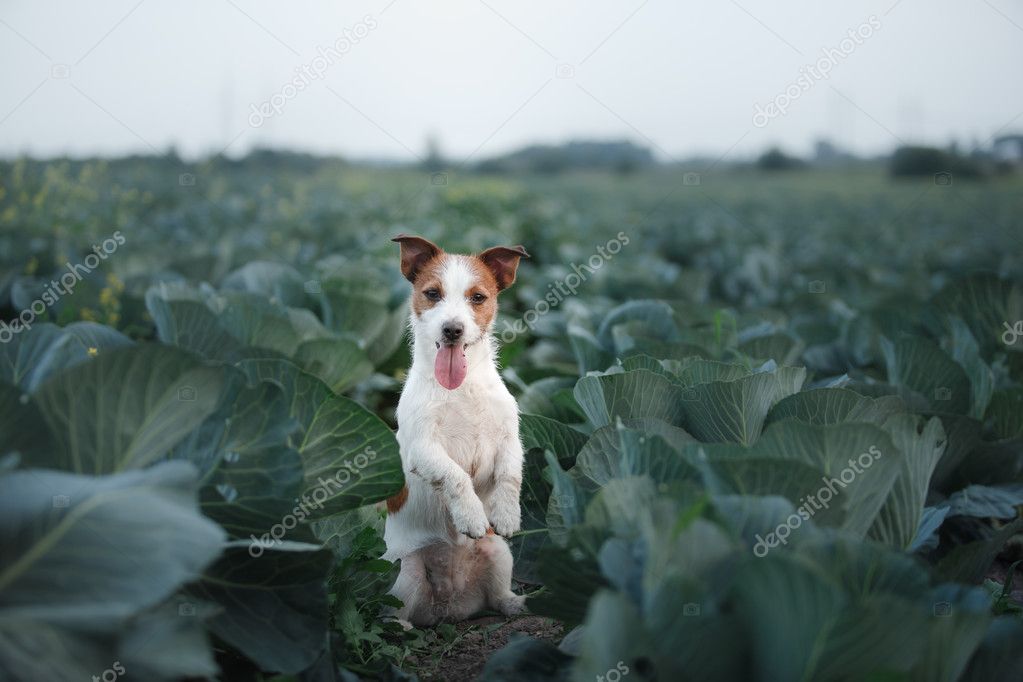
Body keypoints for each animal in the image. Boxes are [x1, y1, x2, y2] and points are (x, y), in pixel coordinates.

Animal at [382, 236, 527, 629]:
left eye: (478, 297)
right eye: (432, 294)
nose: (452, 329)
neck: (462, 388)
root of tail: (449, 608)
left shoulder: (510, 439)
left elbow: (510, 474)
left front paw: (505, 514)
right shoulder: (423, 449)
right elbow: (457, 476)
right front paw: (472, 516)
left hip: (498, 552)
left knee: (497, 596)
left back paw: (518, 603)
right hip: (404, 572)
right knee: (397, 611)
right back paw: (400, 626)